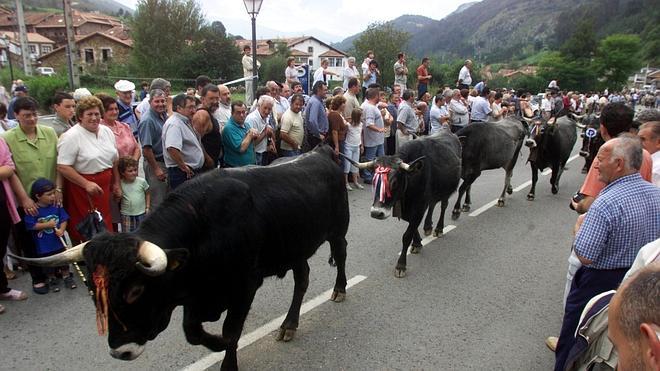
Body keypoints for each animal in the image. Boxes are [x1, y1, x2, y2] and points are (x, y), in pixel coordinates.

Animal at [10, 146, 350, 371]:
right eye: (95, 292)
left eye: (136, 290)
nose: (120, 352)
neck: (202, 227)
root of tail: (319, 152)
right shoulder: (193, 294)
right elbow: (191, 331)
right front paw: (215, 343)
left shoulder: (244, 286)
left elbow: (231, 332)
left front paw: (225, 353)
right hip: (295, 246)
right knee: (302, 279)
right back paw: (289, 324)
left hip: (337, 230)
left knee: (341, 257)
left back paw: (338, 290)